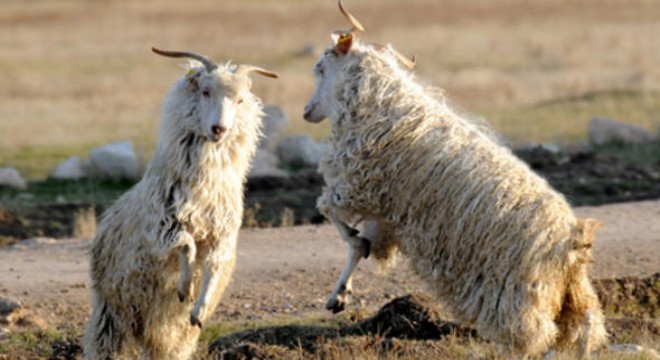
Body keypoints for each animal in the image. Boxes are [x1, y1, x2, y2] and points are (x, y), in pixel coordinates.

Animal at [84, 47, 278, 360]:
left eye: (240, 100)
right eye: (205, 90)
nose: (219, 129)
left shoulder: (221, 238)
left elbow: (212, 269)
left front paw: (198, 308)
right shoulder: (162, 231)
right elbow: (187, 244)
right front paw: (184, 288)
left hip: (172, 335)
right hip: (113, 315)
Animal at [302, 2, 604, 358]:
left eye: (321, 68)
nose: (306, 111)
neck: (381, 103)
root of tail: (573, 239)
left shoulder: (360, 187)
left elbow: (335, 218)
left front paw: (344, 276)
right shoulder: (389, 212)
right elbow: (359, 248)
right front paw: (338, 296)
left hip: (516, 295)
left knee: (532, 335)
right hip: (572, 292)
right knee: (586, 327)